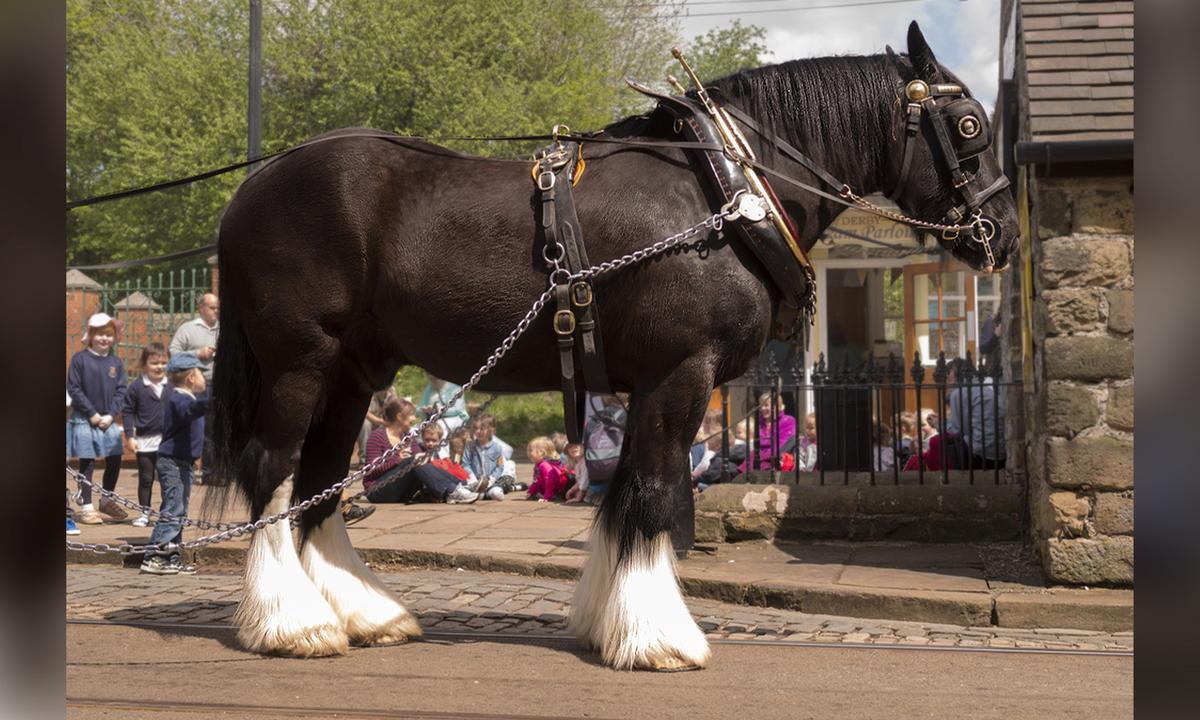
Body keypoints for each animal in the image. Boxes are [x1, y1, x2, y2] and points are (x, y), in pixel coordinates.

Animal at [208, 21, 1019, 670]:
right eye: (969, 126)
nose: (1004, 234)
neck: (724, 193)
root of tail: (251, 188)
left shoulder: (647, 384)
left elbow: (627, 495)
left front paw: (613, 621)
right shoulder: (680, 373)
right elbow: (655, 493)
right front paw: (659, 637)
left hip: (352, 371)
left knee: (317, 481)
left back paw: (363, 613)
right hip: (301, 360)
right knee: (271, 468)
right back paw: (292, 623)